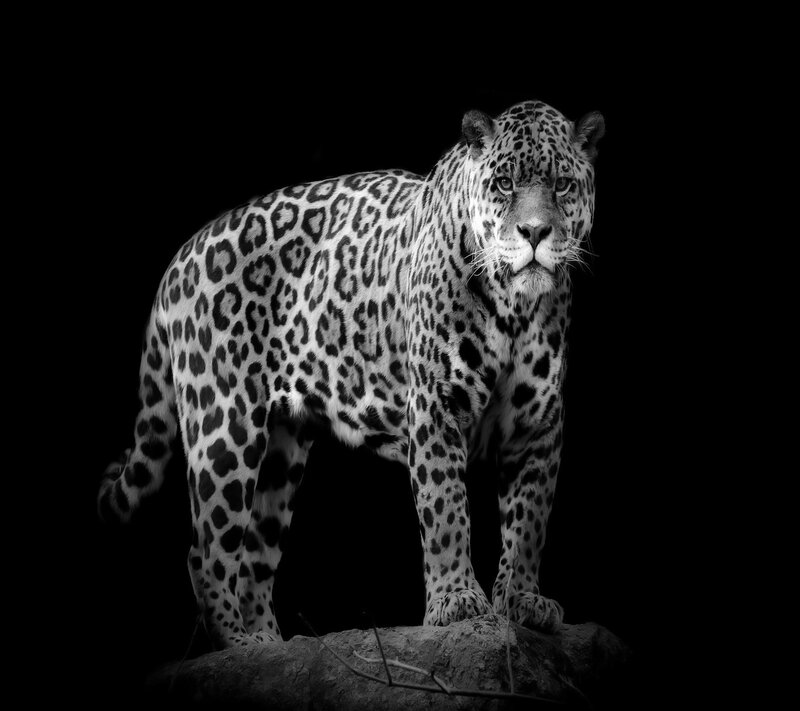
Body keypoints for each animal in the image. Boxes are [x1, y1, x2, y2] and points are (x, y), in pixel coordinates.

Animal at [98, 99, 605, 648]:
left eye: (562, 185)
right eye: (505, 184)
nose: (534, 233)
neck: (515, 308)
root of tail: (180, 257)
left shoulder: (538, 423)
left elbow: (529, 520)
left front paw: (522, 601)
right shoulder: (436, 406)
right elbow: (446, 508)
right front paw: (456, 603)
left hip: (282, 453)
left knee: (254, 559)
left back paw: (270, 647)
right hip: (225, 430)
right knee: (206, 551)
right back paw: (237, 642)